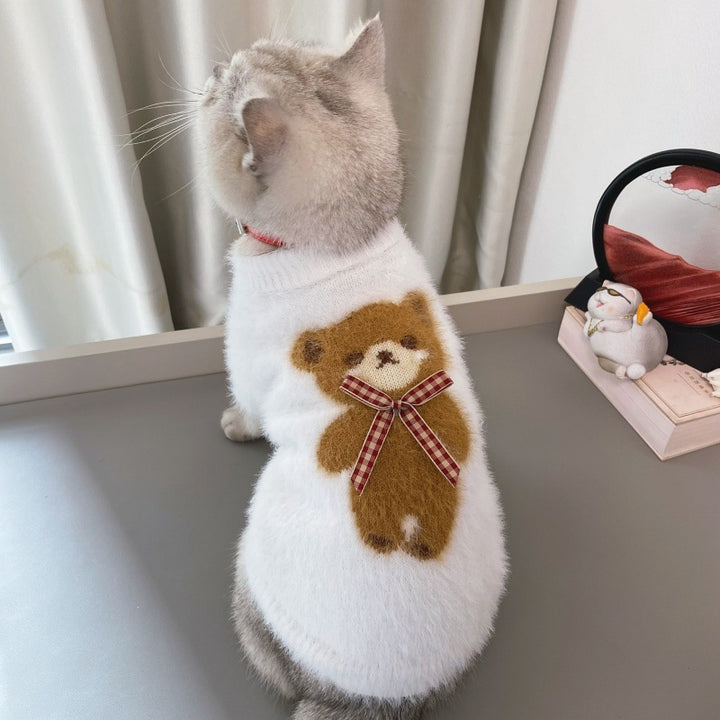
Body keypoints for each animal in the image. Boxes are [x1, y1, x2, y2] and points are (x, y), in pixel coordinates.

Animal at [291, 291, 471, 560]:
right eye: (353, 357)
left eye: (409, 341)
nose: (384, 353)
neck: (395, 404)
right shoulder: (357, 421)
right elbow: (333, 449)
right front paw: (325, 459)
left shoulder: (442, 409)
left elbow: (459, 435)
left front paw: (461, 448)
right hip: (372, 502)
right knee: (378, 519)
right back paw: (381, 539)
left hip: (438, 497)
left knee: (435, 518)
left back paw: (424, 546)